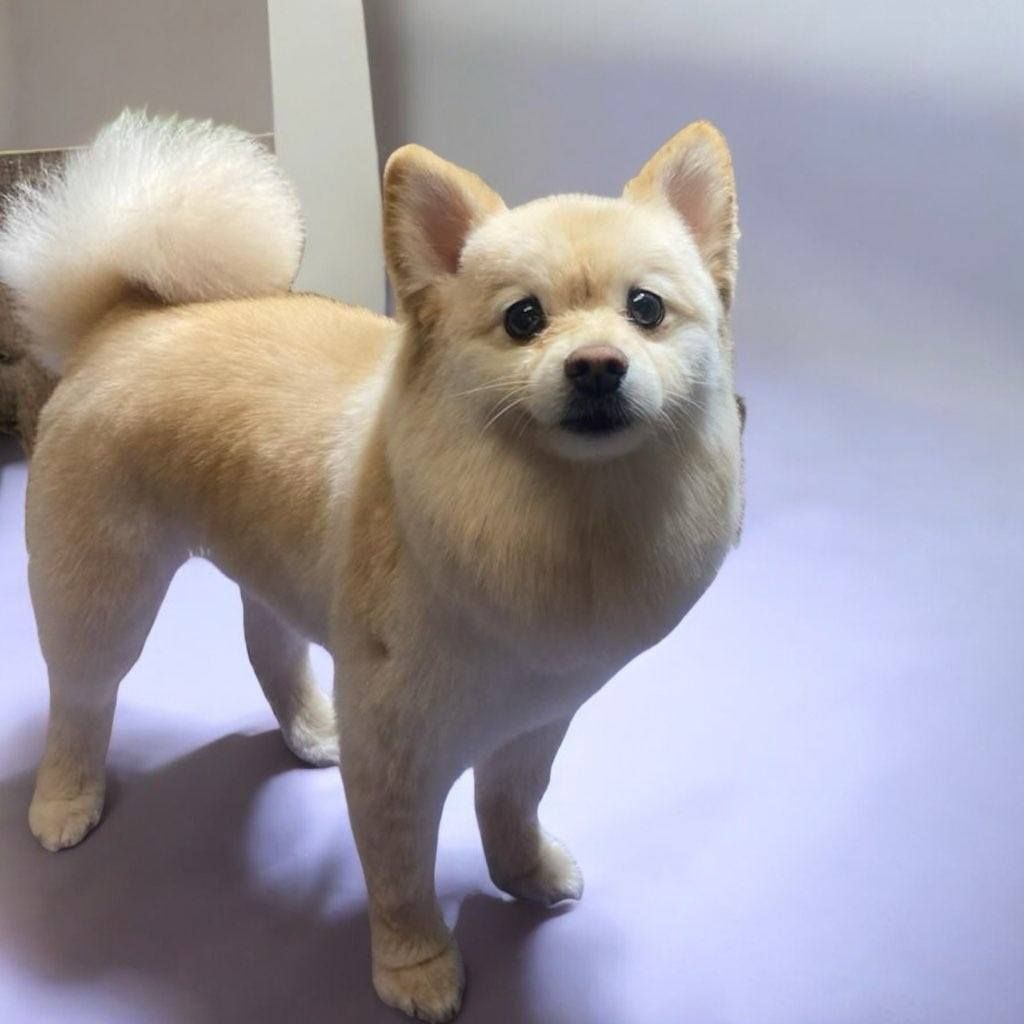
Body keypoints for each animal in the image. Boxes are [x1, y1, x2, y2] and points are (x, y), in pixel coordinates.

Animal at [0, 114, 741, 1024]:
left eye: (646, 309)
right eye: (523, 318)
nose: (598, 363)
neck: (560, 516)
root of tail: (121, 317)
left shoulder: (535, 718)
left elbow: (510, 806)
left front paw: (523, 874)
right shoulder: (397, 751)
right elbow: (399, 876)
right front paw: (416, 969)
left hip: (272, 560)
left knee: (269, 646)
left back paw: (312, 729)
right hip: (101, 591)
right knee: (81, 697)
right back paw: (64, 802)